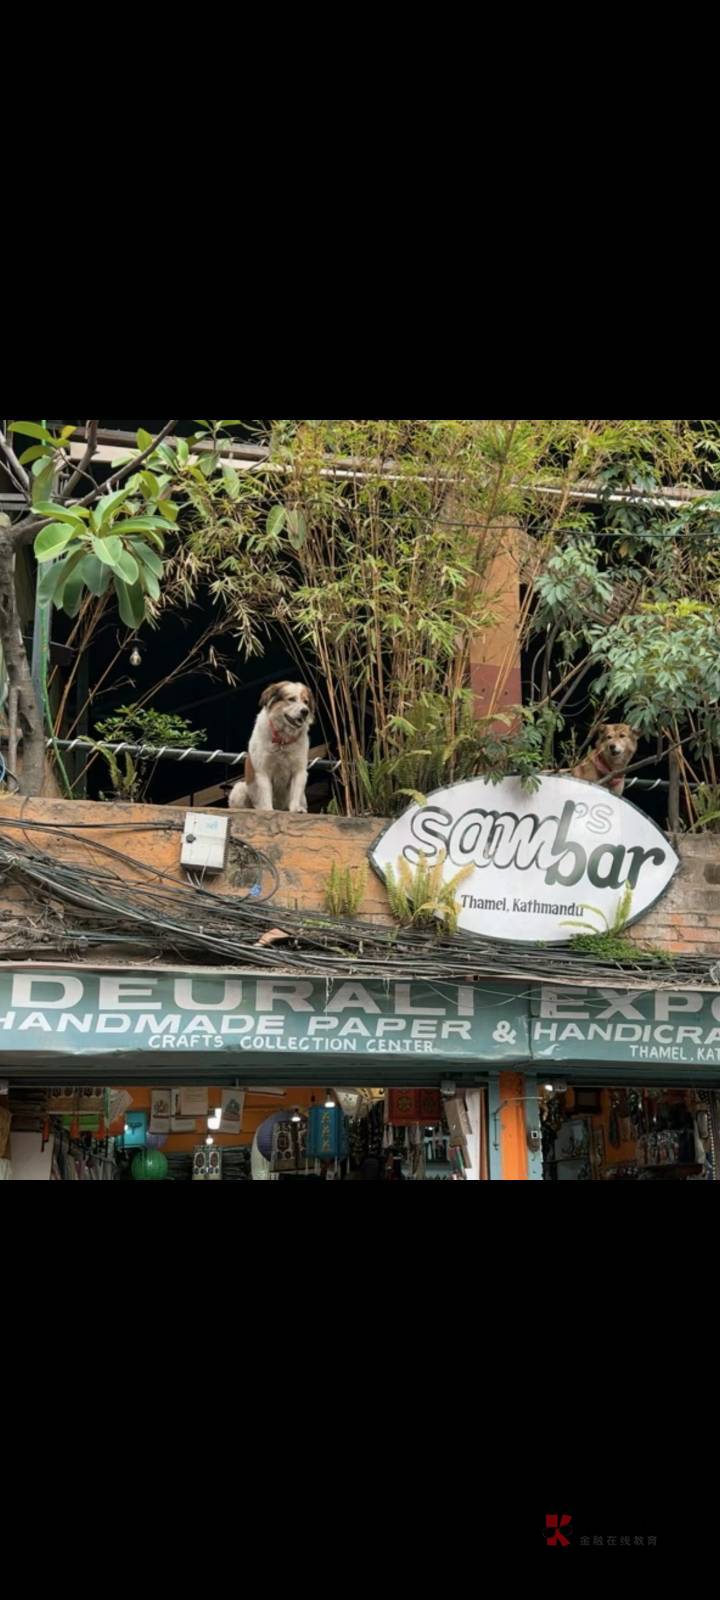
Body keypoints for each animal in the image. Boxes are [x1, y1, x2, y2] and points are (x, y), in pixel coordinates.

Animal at [227, 681, 313, 819]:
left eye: (306, 701)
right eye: (291, 699)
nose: (305, 711)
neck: (282, 739)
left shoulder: (299, 770)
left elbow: (295, 792)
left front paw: (295, 809)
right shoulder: (263, 770)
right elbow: (266, 793)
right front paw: (268, 810)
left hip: (303, 798)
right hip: (239, 790)